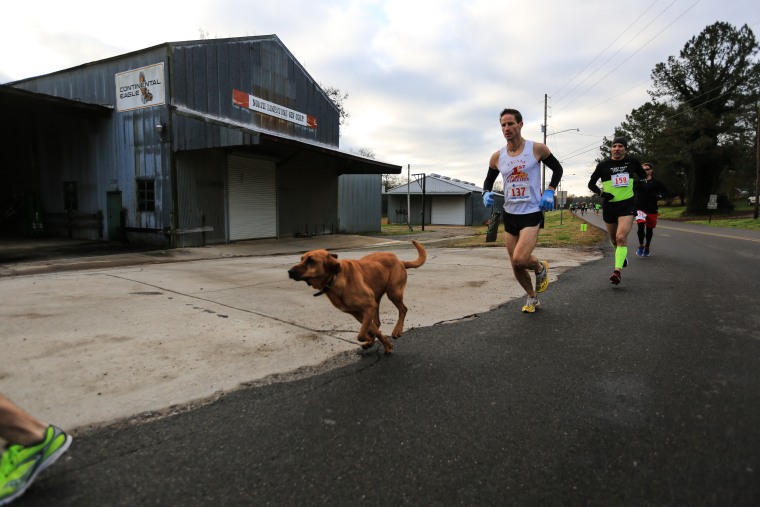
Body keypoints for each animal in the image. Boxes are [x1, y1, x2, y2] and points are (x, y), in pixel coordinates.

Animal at [286, 241, 424, 354]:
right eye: (301, 259)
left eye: (311, 261)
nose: (289, 272)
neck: (335, 279)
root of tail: (400, 261)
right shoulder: (359, 313)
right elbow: (372, 330)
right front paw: (384, 344)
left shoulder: (368, 307)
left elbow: (362, 334)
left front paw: (372, 339)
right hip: (377, 299)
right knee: (378, 322)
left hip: (393, 292)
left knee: (403, 309)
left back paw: (397, 330)